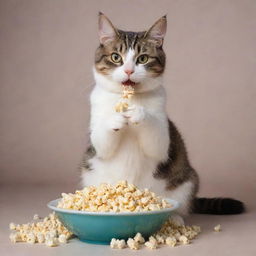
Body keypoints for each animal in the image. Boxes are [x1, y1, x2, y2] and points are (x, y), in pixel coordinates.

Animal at [80, 12, 244, 216]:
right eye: (116, 57)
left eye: (142, 59)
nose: (128, 70)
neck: (131, 97)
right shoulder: (97, 138)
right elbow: (103, 144)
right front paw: (115, 118)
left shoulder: (163, 137)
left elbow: (156, 142)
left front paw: (139, 113)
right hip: (88, 174)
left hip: (187, 181)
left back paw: (175, 218)